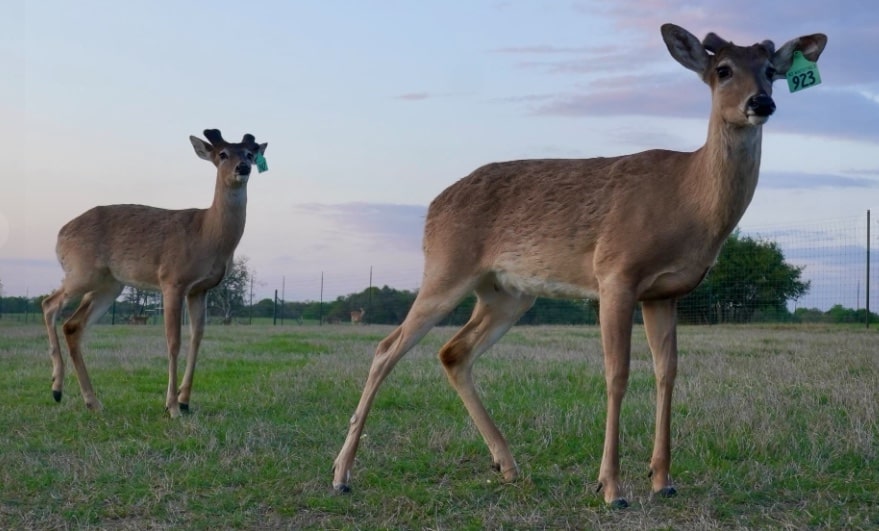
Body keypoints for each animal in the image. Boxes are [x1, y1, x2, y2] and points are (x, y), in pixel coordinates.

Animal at [41, 129, 267, 418]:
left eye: (250, 153)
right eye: (223, 154)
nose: (243, 167)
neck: (207, 234)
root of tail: (60, 234)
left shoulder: (200, 289)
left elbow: (197, 338)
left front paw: (185, 400)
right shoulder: (172, 280)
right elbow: (174, 341)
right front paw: (172, 406)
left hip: (109, 285)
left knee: (73, 325)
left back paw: (91, 401)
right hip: (82, 271)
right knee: (49, 303)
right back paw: (56, 387)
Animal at [331, 24, 827, 508]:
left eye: (770, 70)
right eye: (722, 70)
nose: (760, 102)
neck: (688, 199)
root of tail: (432, 208)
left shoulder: (664, 293)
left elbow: (667, 373)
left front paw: (662, 480)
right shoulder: (616, 273)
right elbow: (617, 373)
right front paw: (611, 487)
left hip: (506, 293)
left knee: (453, 352)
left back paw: (507, 465)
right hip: (446, 267)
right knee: (387, 348)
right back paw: (341, 475)